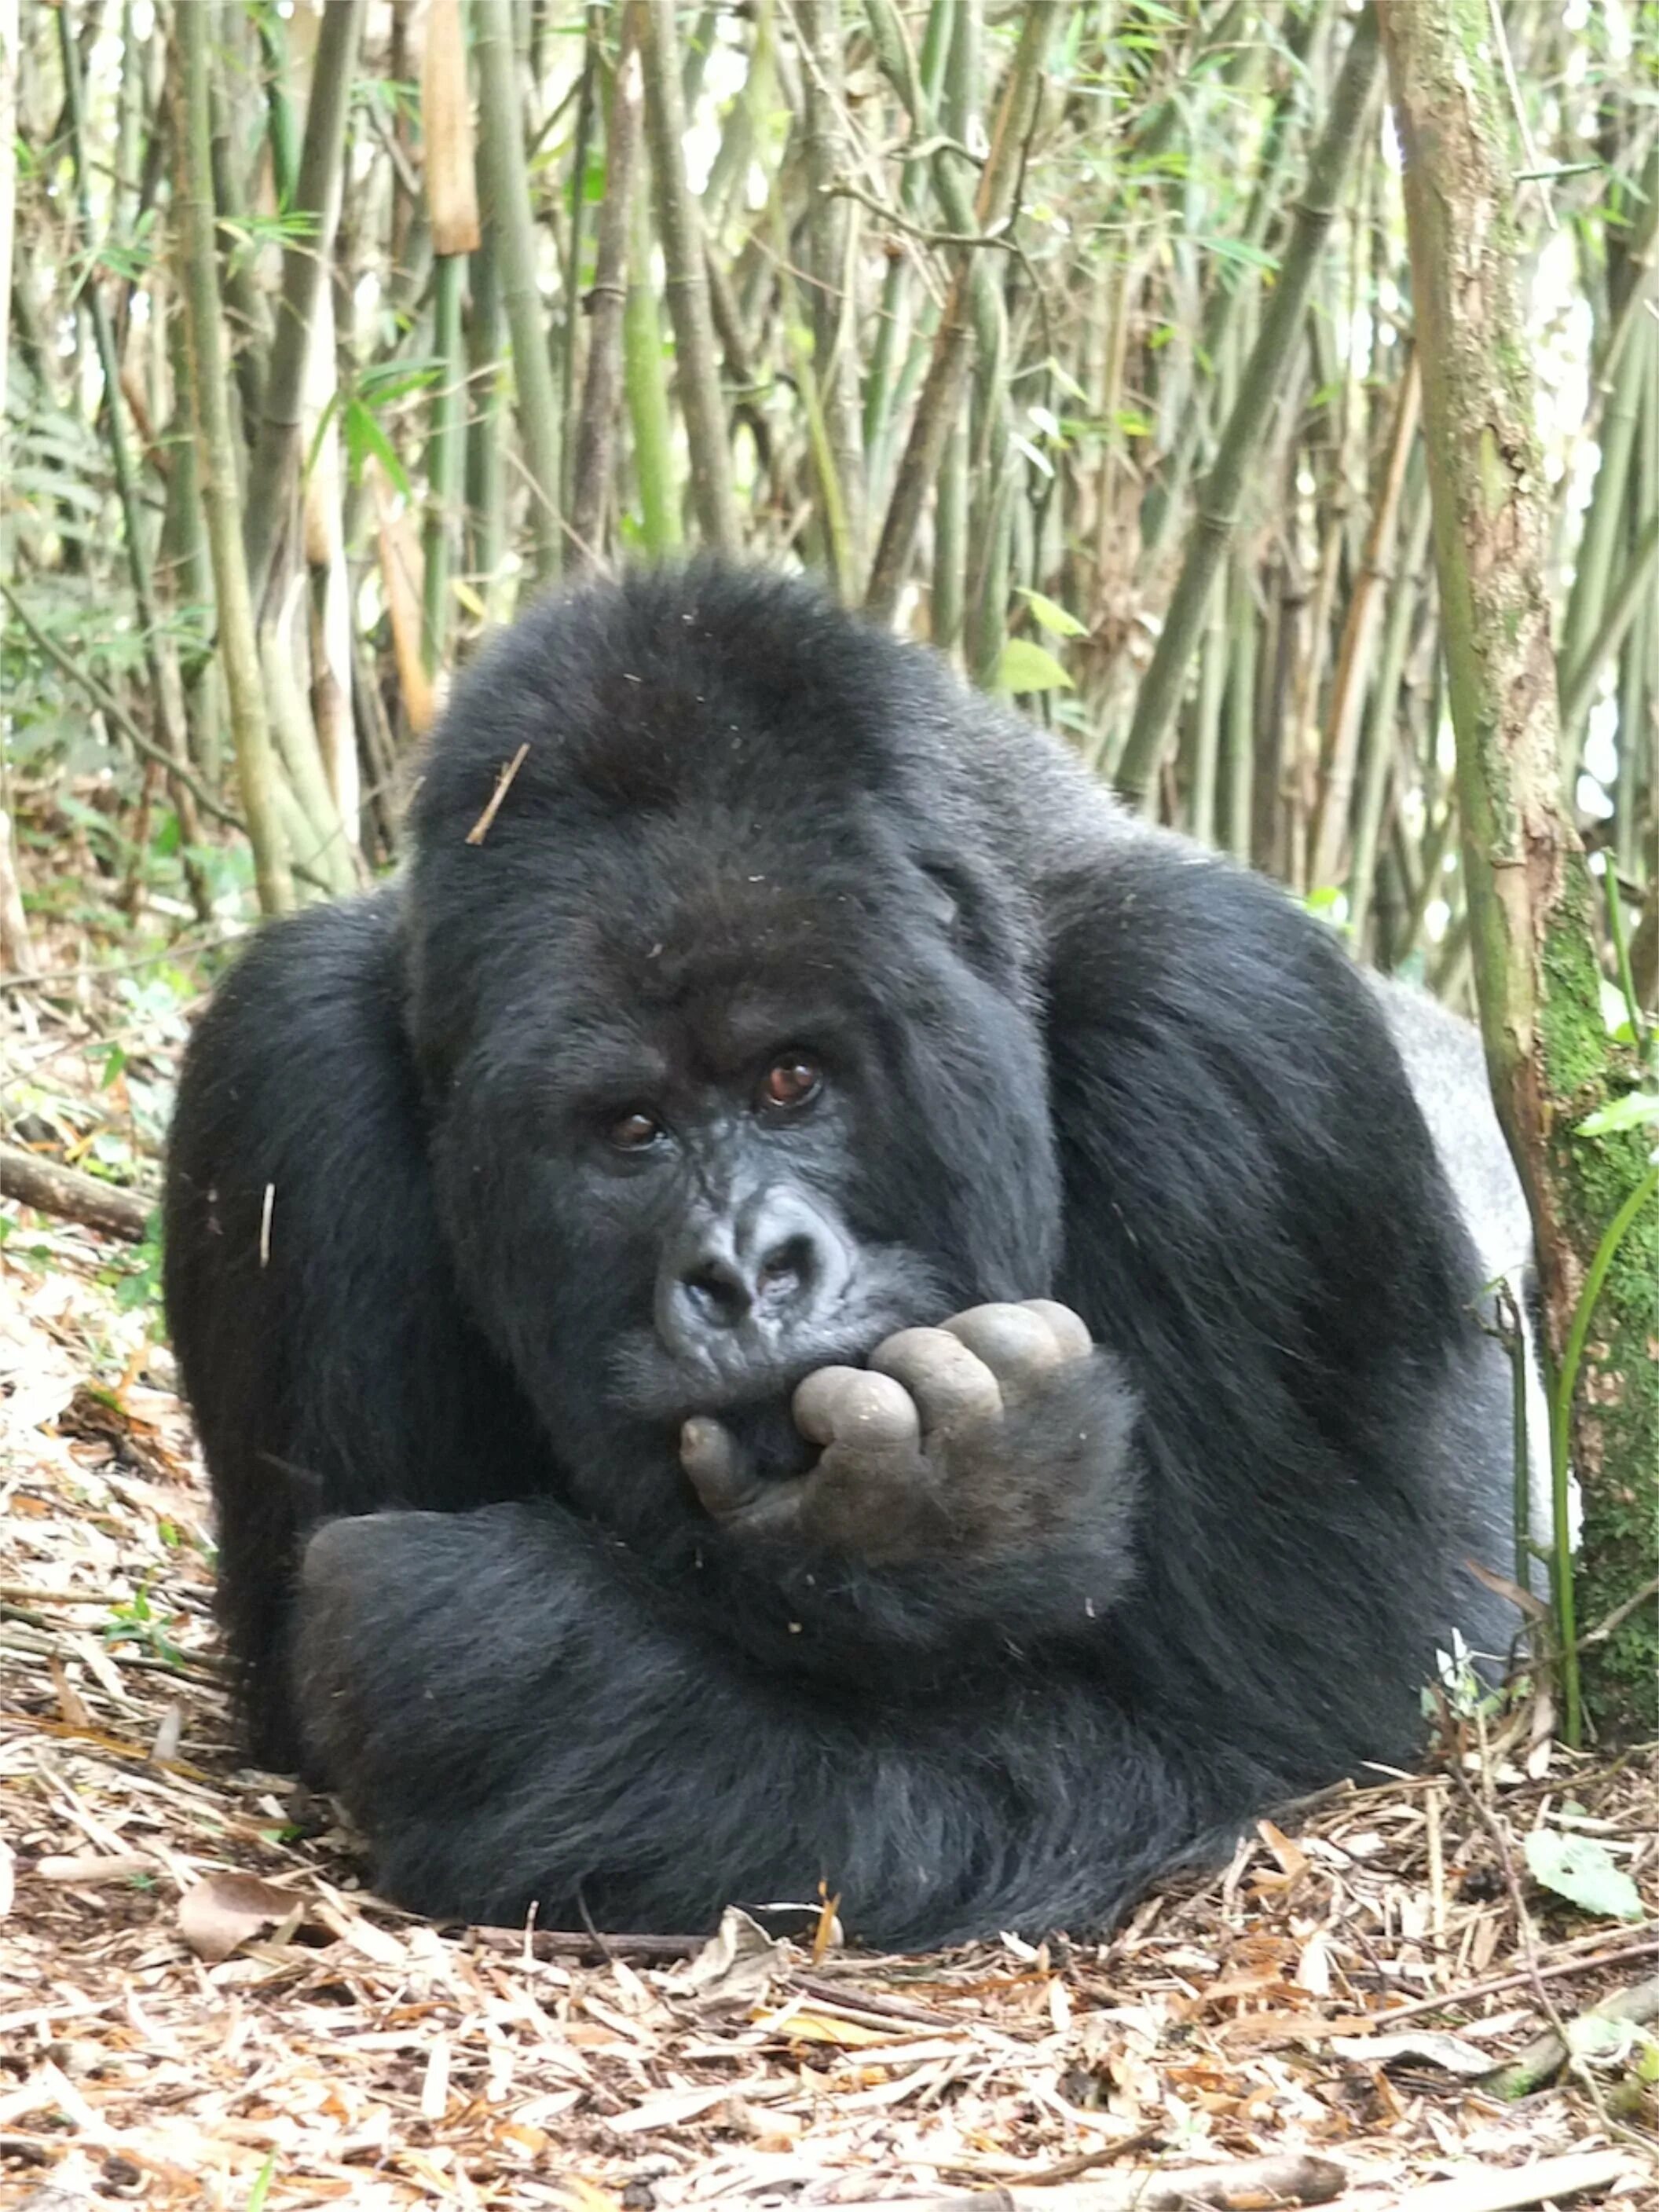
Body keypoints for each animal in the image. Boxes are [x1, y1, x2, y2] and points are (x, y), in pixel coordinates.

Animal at [162, 566, 1530, 1955]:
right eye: (632, 1130)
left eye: (791, 1079)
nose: (742, 1273)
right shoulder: (292, 1068)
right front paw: (938, 1522)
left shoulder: (1237, 1028)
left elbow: (1254, 1734)